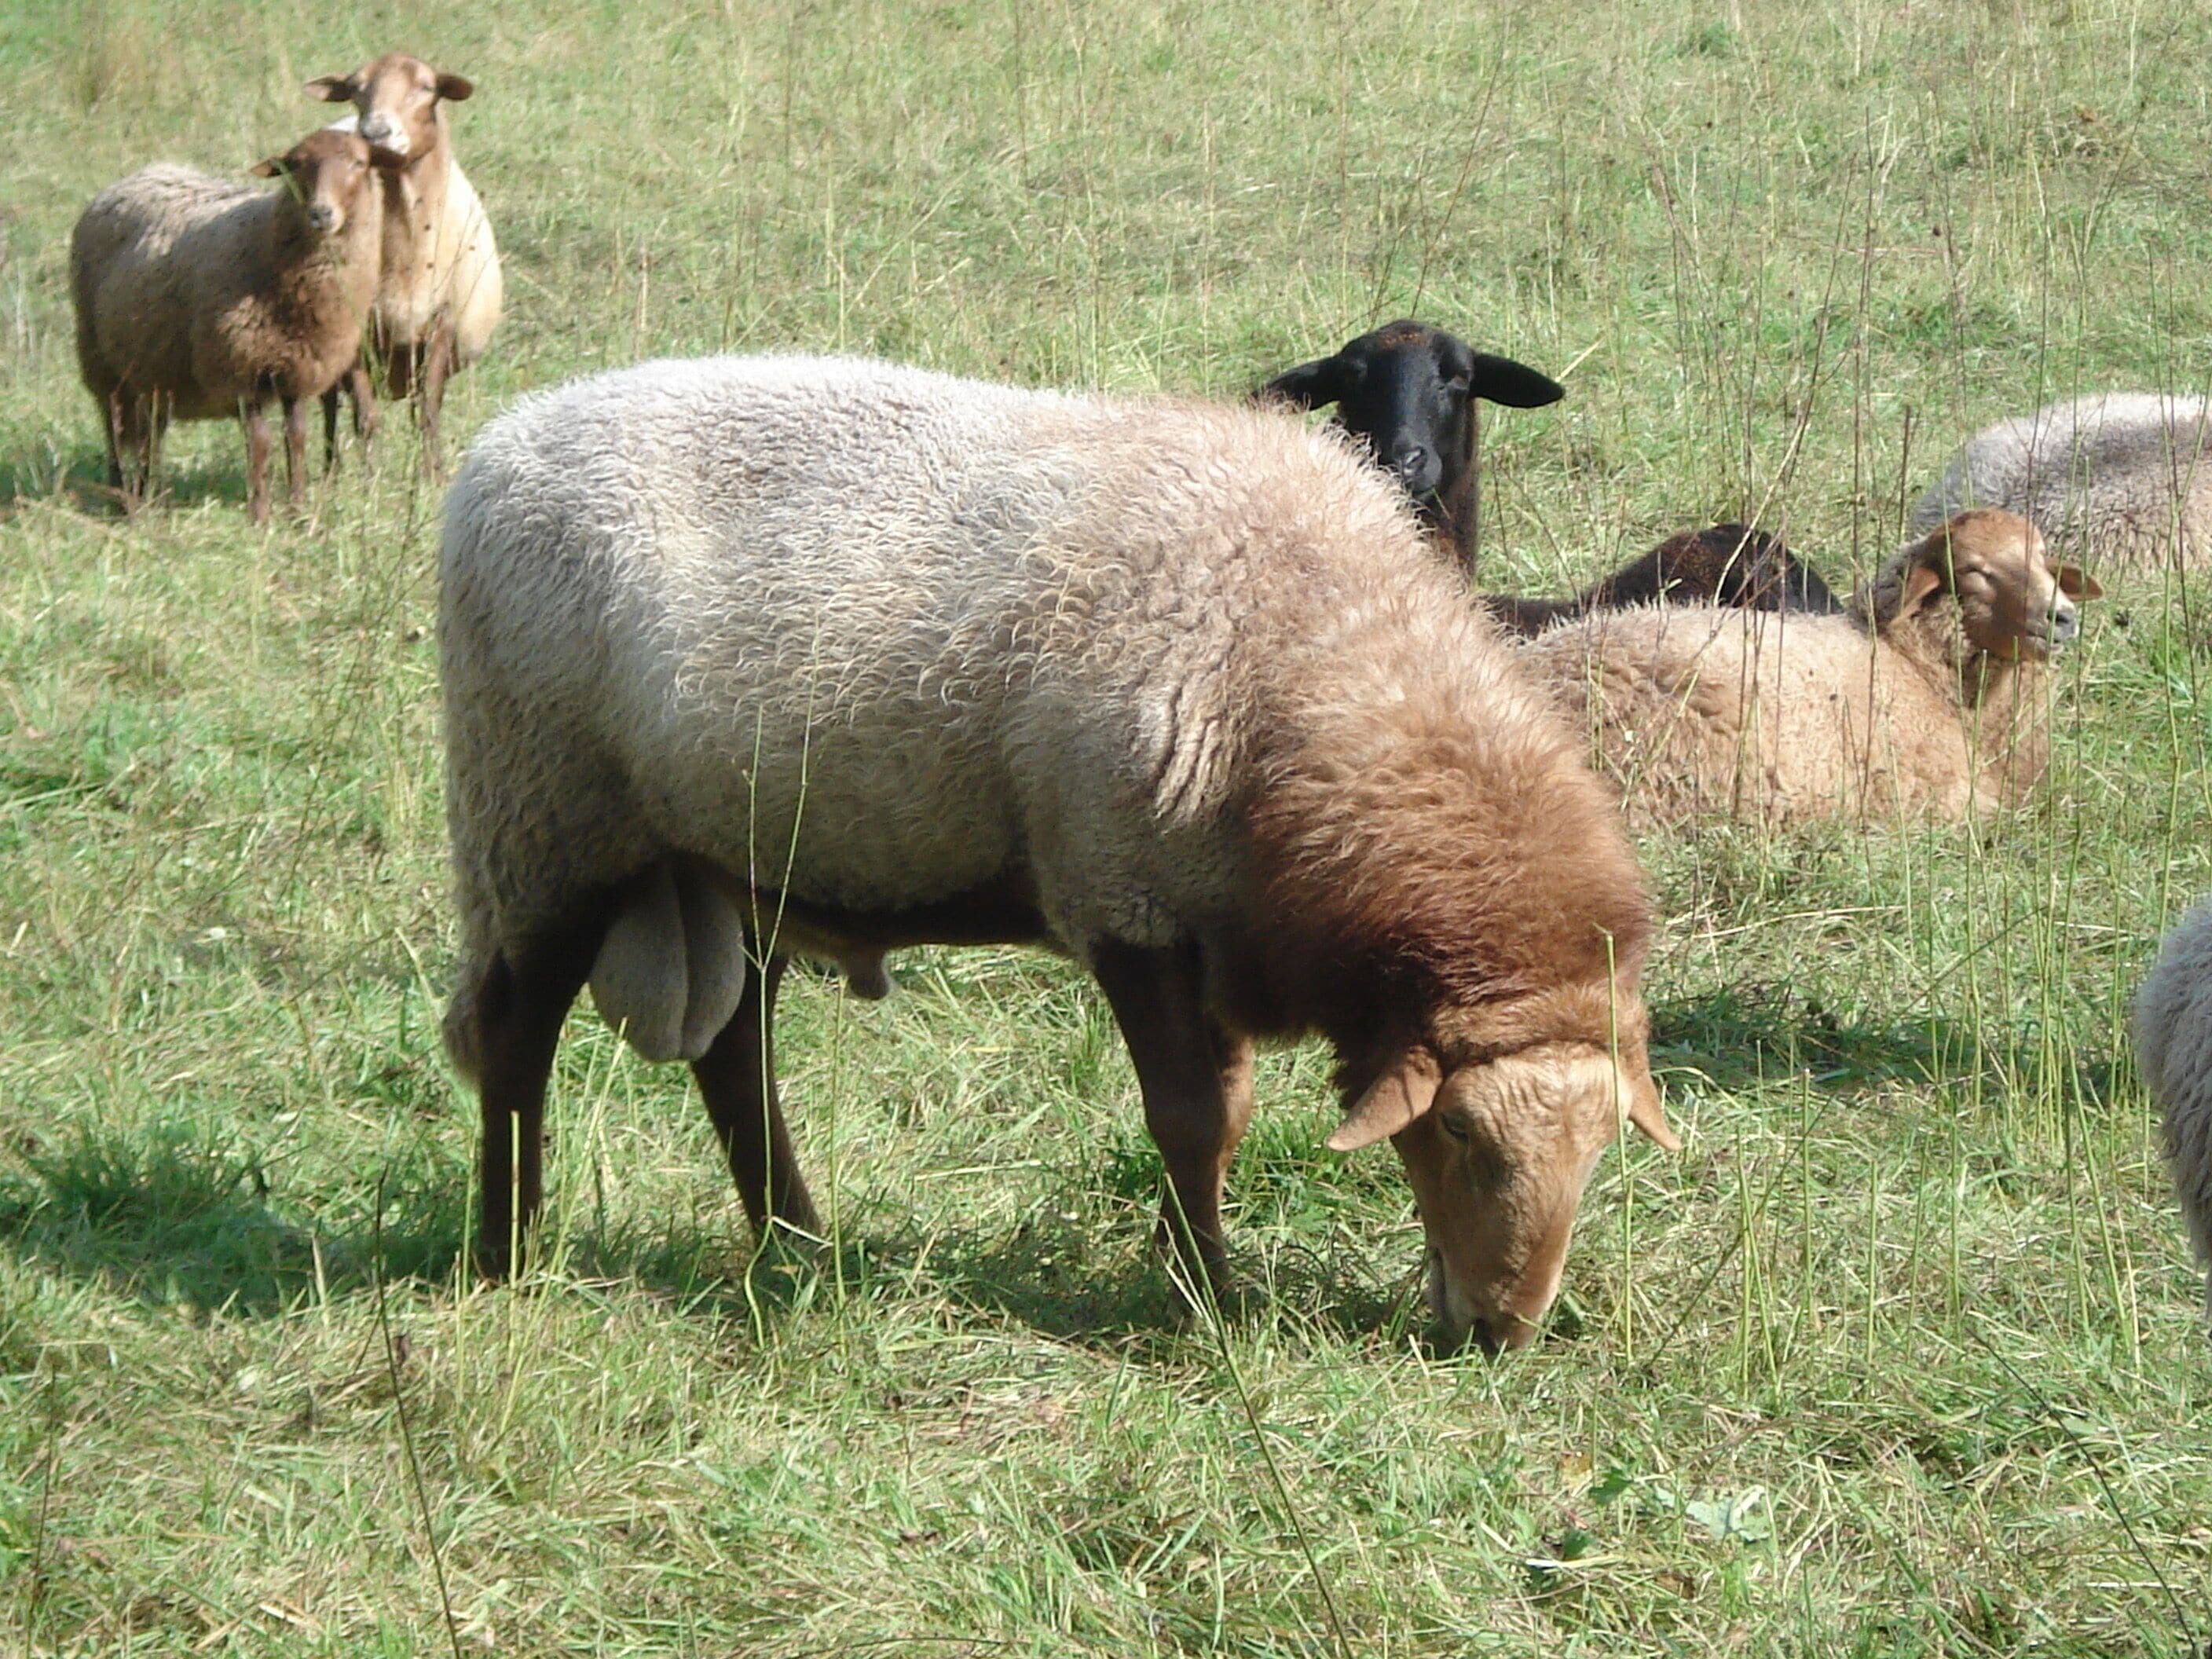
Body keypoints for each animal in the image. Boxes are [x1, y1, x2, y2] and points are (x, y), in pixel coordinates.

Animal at [70, 129, 398, 522]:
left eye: (359, 162)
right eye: (296, 165)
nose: (321, 213)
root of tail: (136, 175)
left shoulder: (297, 370)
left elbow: (296, 438)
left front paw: (298, 508)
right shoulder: (243, 369)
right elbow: (260, 444)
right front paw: (260, 515)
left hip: (154, 371)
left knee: (149, 435)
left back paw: (149, 495)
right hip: (101, 360)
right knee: (115, 430)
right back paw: (120, 499)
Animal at [307, 52, 502, 475]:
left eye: (426, 87)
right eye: (355, 88)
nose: (374, 132)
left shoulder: (442, 322)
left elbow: (427, 412)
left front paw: (432, 475)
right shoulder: (356, 332)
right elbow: (365, 418)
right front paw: (370, 480)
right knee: (328, 406)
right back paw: (330, 474)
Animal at [440, 354, 1679, 1353]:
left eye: (1602, 1148)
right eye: (1461, 1134)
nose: (1503, 1332)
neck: (1320, 654)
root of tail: (502, 441)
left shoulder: (1210, 918)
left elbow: (1222, 1115)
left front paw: (1191, 1271)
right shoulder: (1124, 899)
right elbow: (1192, 1119)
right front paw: (1204, 1300)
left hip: (725, 851)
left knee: (734, 1049)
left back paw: (793, 1241)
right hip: (543, 817)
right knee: (515, 1039)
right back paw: (509, 1254)